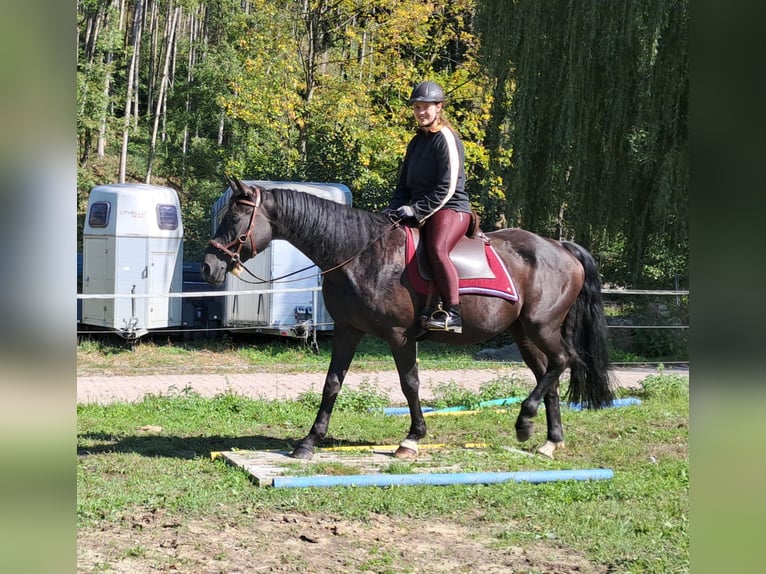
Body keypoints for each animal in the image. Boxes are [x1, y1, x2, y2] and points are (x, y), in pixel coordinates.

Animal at [201, 181, 616, 464]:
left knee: (563, 361)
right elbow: (332, 384)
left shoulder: (400, 336)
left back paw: (525, 420)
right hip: (524, 333)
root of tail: (561, 247)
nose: (209, 266)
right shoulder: (348, 332)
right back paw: (548, 440)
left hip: (540, 327)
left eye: (236, 216)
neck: (359, 253)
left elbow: (410, 383)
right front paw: (308, 442)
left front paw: (412, 439)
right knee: (548, 374)